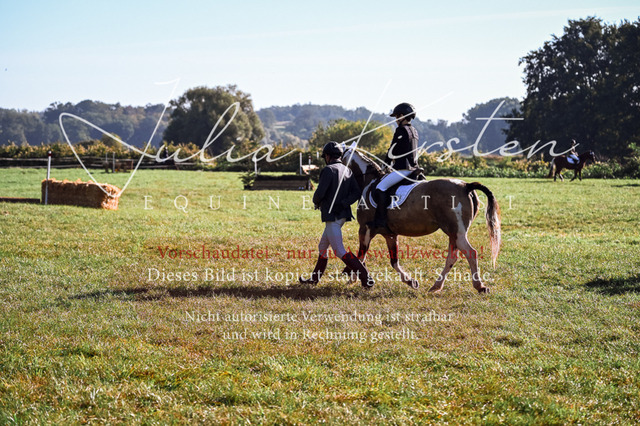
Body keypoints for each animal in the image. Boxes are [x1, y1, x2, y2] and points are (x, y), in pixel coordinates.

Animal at [341, 145, 501, 294]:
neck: (369, 180)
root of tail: (465, 186)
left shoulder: (365, 228)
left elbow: (361, 256)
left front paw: (354, 280)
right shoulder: (389, 234)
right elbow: (393, 261)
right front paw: (410, 281)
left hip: (457, 233)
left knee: (470, 253)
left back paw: (479, 286)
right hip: (453, 233)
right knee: (452, 257)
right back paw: (436, 286)